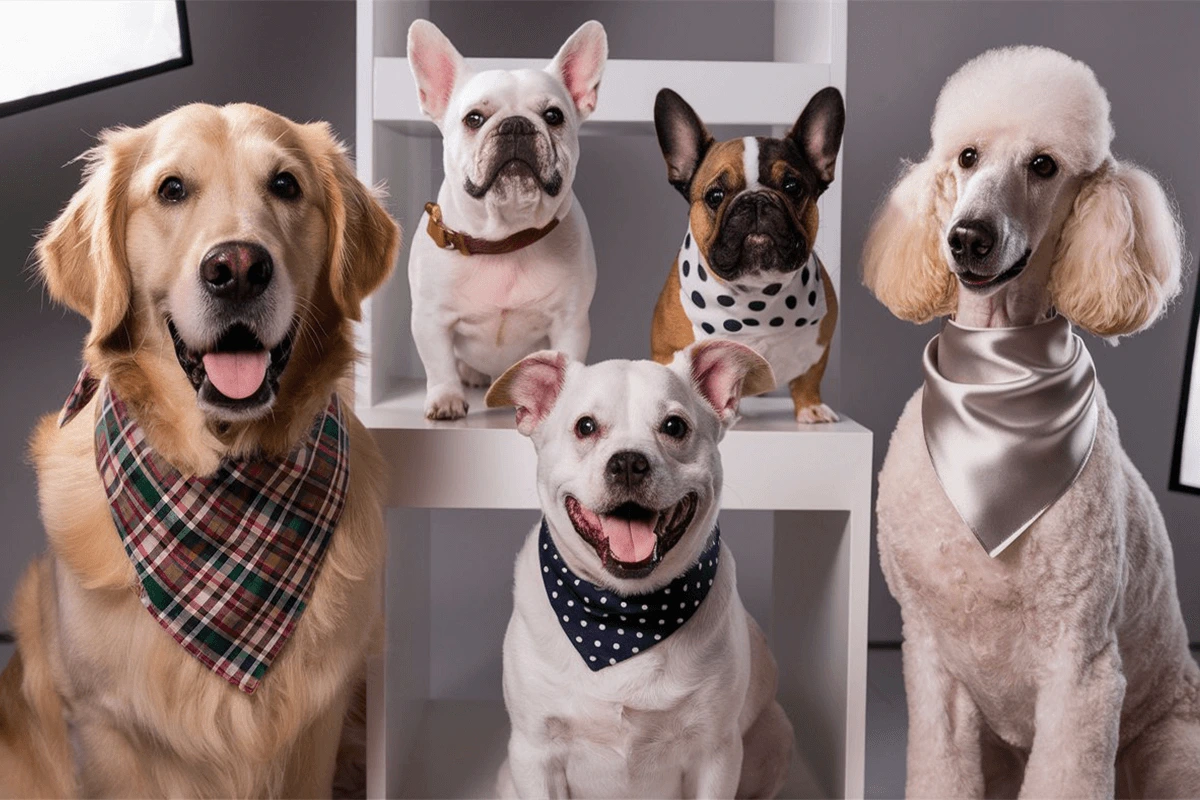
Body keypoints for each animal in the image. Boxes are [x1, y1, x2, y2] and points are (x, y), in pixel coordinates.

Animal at [482, 340, 792, 800]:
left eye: (674, 426)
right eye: (585, 426)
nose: (629, 462)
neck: (622, 619)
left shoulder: (715, 754)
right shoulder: (534, 752)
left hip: (776, 733)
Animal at [648, 89, 844, 424]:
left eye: (793, 187)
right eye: (715, 195)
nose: (755, 200)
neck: (756, 298)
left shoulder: (820, 347)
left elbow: (809, 378)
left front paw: (811, 407)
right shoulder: (666, 350)